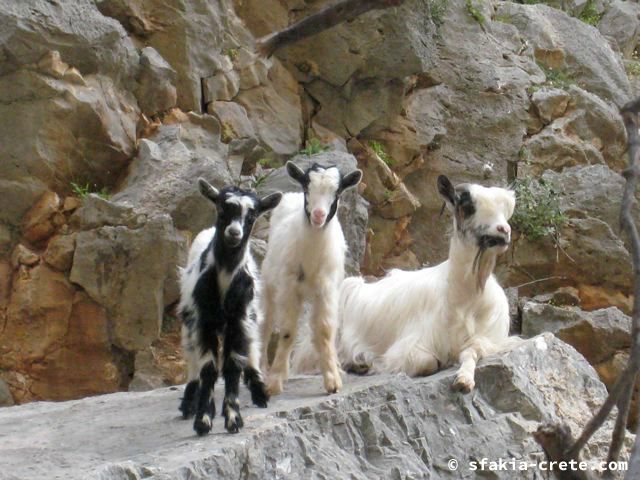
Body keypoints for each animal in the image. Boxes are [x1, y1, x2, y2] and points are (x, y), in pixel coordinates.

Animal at [179, 179, 282, 436]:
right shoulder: (204, 320)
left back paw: (258, 390)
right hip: (189, 317)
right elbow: (208, 368)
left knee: (251, 348)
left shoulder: (240, 318)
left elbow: (233, 365)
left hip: (250, 317)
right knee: (193, 356)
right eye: (221, 207)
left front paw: (233, 418)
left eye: (252, 214)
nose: (234, 233)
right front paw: (203, 419)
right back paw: (190, 400)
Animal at [258, 160, 360, 394]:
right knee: (266, 324)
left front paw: (332, 380)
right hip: (270, 283)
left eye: (337, 192)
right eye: (307, 187)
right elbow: (287, 331)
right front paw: (274, 382)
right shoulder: (288, 287)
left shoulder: (327, 289)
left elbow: (324, 330)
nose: (318, 215)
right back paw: (262, 370)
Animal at [336, 174, 516, 392]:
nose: (504, 230)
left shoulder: (488, 337)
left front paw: (464, 380)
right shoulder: (411, 344)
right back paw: (358, 363)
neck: (464, 299)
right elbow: (428, 362)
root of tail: (359, 285)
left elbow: (471, 352)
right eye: (466, 206)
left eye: (505, 211)